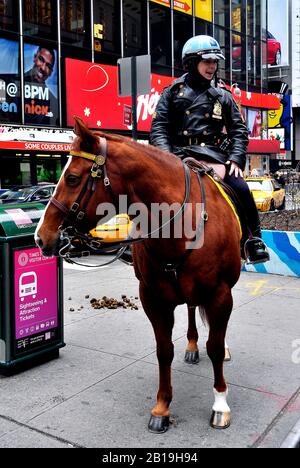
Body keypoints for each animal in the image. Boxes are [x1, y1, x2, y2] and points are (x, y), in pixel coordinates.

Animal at [35, 119, 241, 434]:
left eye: (71, 178)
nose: (40, 237)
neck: (179, 225)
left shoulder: (220, 293)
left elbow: (216, 348)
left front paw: (220, 404)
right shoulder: (153, 298)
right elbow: (164, 350)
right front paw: (162, 406)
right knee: (192, 309)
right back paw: (192, 345)